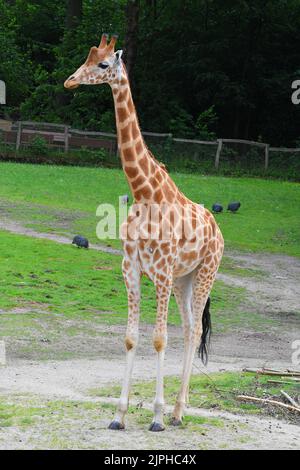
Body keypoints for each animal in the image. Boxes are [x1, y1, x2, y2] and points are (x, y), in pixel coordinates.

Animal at [64, 32, 224, 430]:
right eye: (86, 58)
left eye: (104, 64)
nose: (70, 81)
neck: (143, 191)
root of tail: (218, 231)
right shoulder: (132, 269)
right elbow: (131, 338)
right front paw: (119, 415)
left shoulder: (162, 272)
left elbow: (159, 339)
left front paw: (156, 415)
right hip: (185, 279)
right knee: (190, 328)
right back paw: (179, 409)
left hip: (205, 273)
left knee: (195, 331)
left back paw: (177, 411)